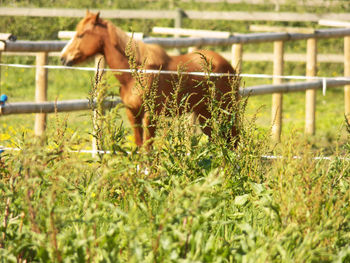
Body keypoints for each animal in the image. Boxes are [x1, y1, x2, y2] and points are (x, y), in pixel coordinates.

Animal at [60, 11, 241, 147]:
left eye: (81, 35)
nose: (63, 58)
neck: (135, 74)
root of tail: (229, 68)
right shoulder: (133, 114)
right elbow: (140, 147)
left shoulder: (150, 115)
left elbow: (148, 149)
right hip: (206, 114)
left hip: (225, 111)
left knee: (234, 140)